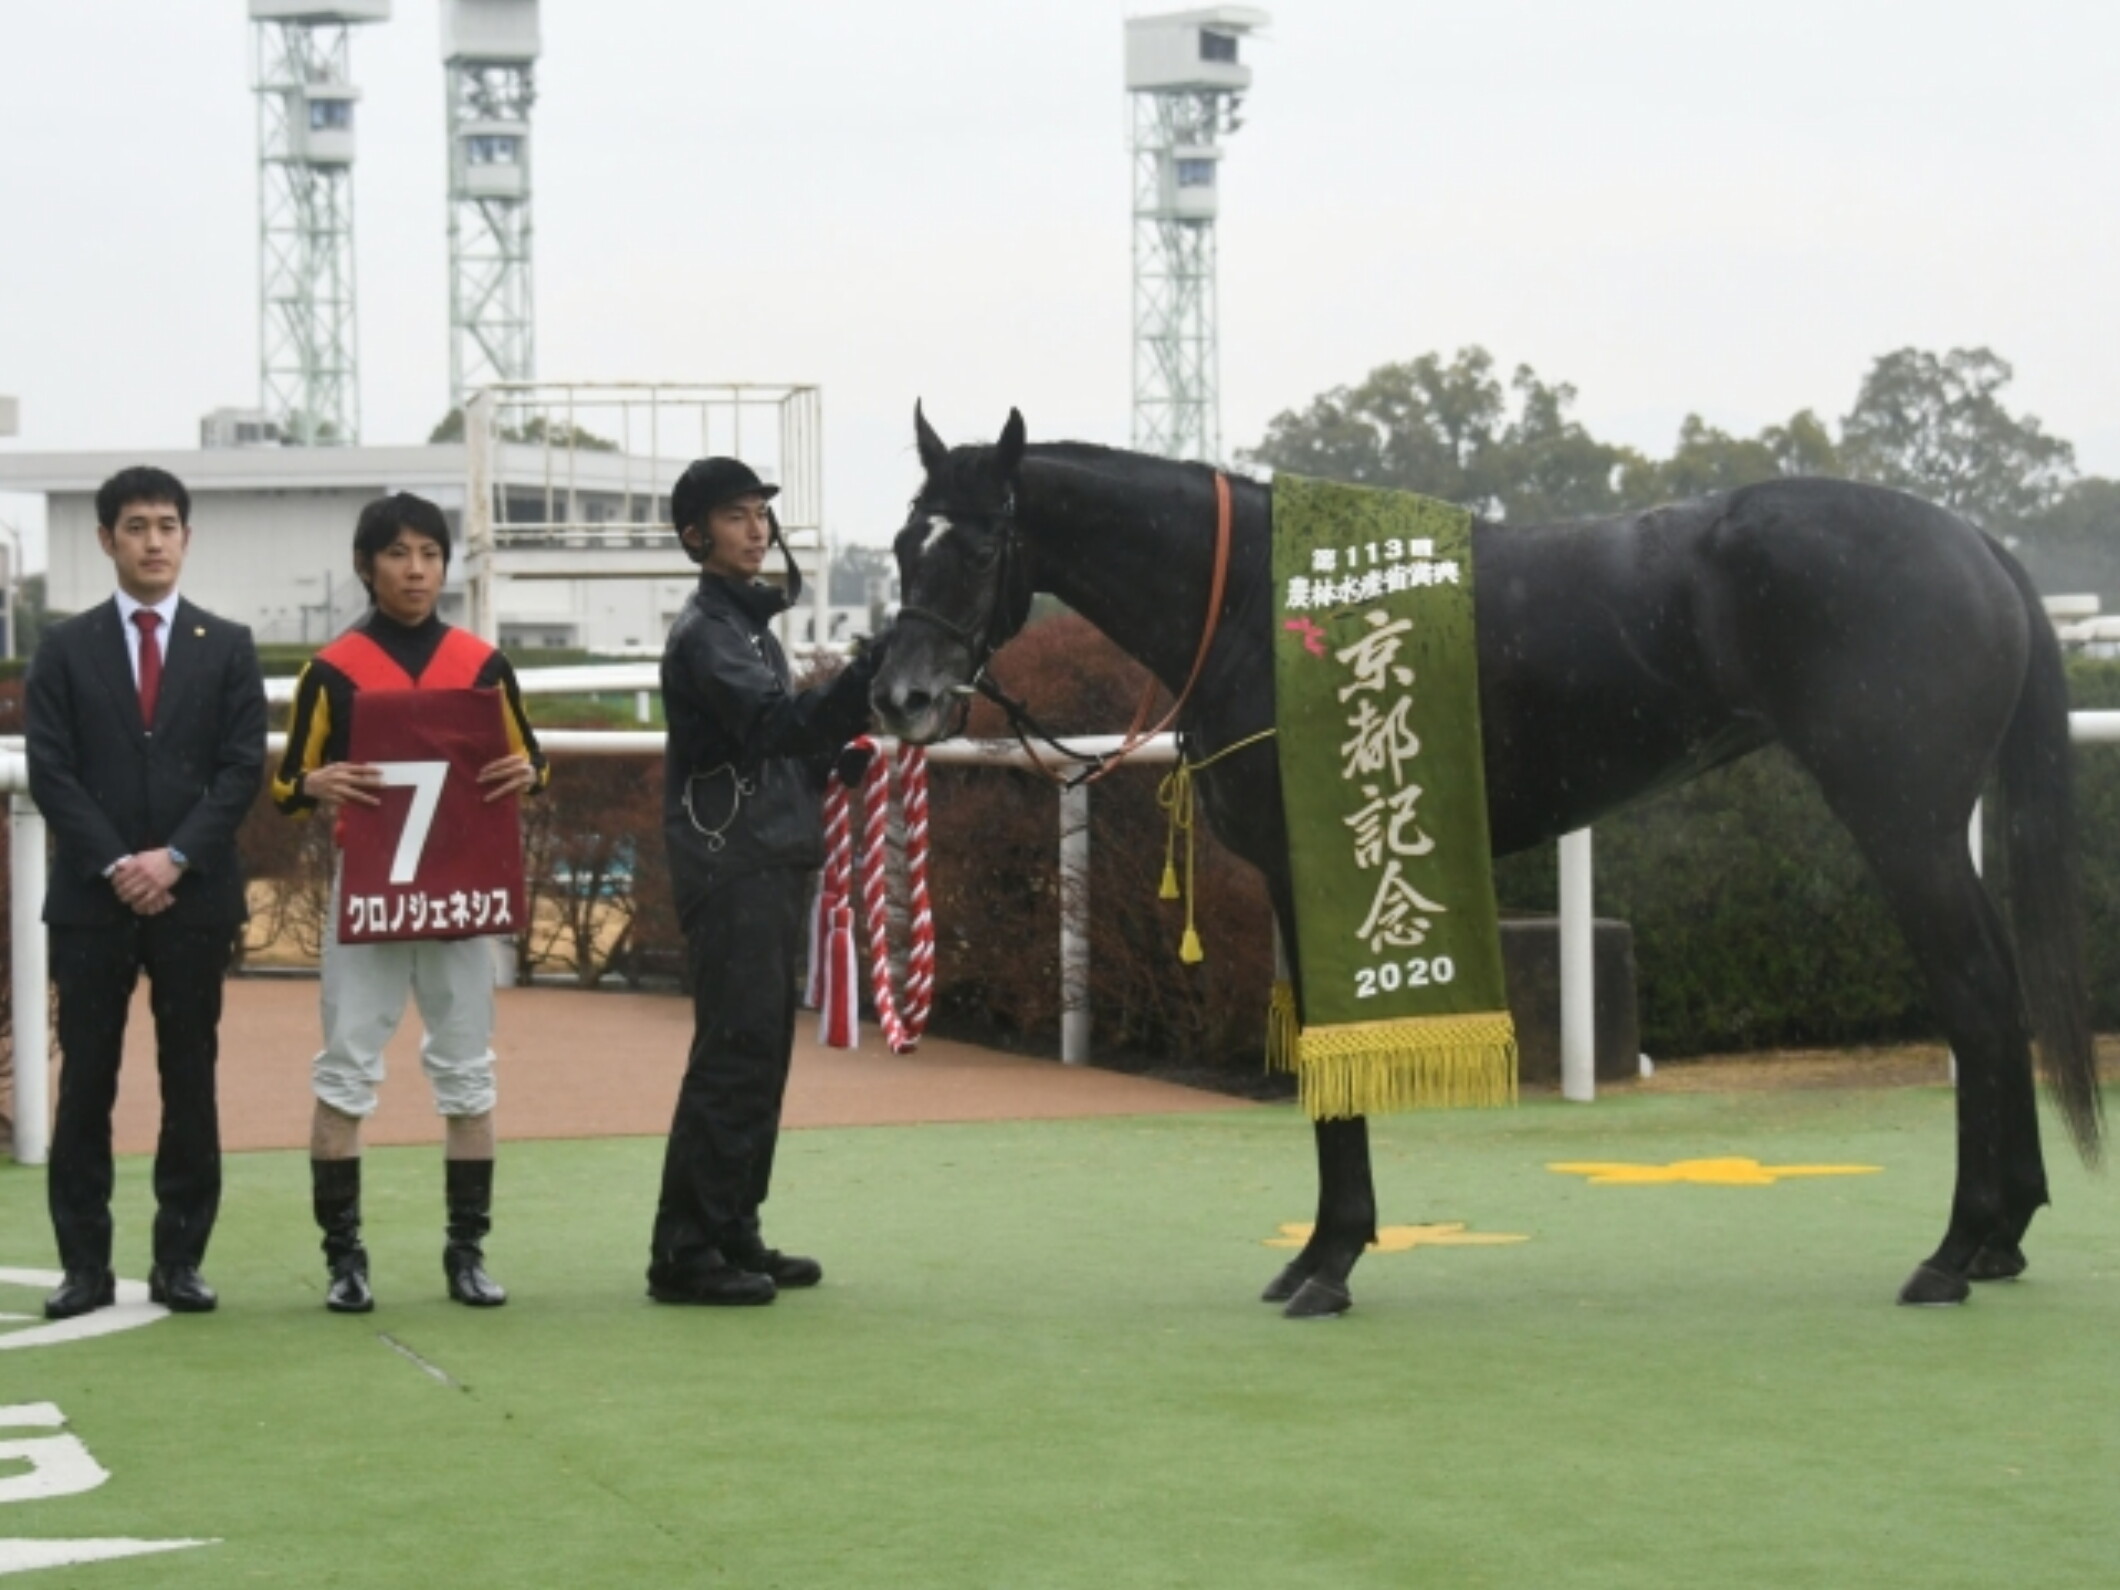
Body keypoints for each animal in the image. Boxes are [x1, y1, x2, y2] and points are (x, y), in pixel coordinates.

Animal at [864, 407, 2103, 1322]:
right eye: (904, 543)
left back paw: (1952, 1249)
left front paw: (1329, 1263)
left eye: (981, 544)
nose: (904, 697)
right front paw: (1314, 1253)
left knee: (1977, 999)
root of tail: (1973, 545)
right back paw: (1999, 1238)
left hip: (1904, 825)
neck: (1259, 606)